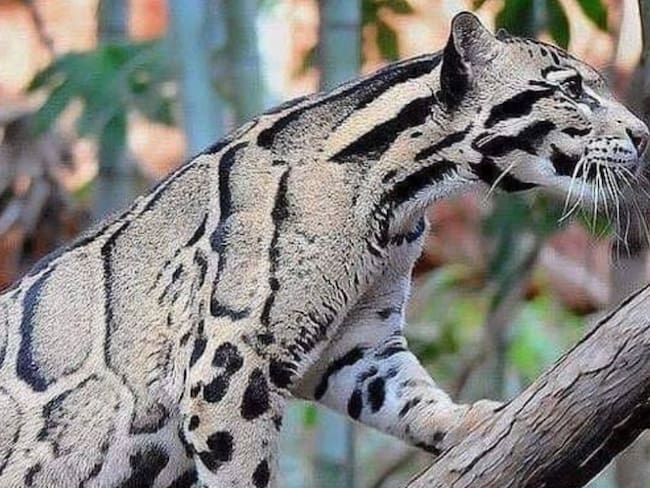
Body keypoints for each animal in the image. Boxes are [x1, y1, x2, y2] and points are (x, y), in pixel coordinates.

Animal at [0, 11, 647, 488]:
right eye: (572, 89)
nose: (642, 133)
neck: (396, 202)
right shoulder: (229, 361)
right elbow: (241, 468)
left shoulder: (360, 343)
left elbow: (406, 394)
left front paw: (467, 423)